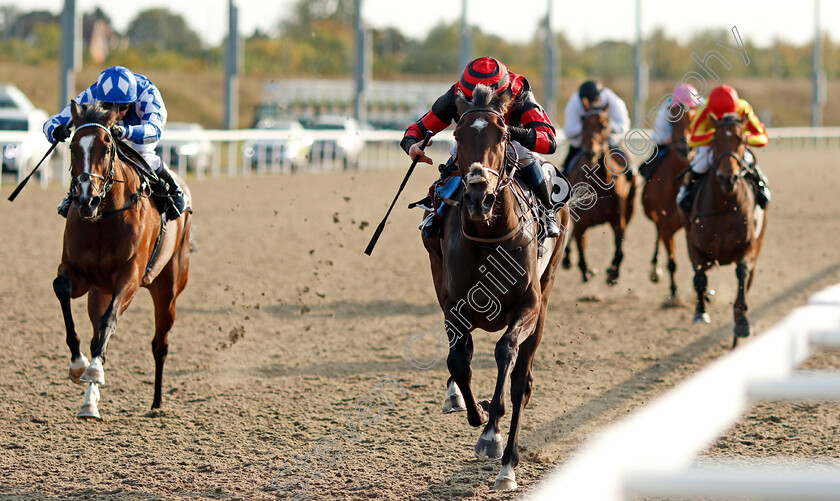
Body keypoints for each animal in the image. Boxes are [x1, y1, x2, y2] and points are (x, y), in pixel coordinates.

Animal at [52, 99, 192, 416]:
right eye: (73, 146)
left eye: (106, 148)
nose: (86, 199)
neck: (103, 219)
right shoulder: (78, 273)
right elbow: (62, 289)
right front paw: (78, 365)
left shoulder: (129, 276)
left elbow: (109, 320)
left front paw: (92, 370)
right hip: (98, 292)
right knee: (97, 338)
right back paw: (89, 403)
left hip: (167, 288)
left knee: (159, 343)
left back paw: (156, 402)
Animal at [420, 85, 572, 488]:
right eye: (457, 135)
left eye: (503, 135)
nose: (478, 196)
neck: (489, 236)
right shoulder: (453, 306)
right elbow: (458, 361)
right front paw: (475, 410)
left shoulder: (529, 306)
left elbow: (506, 354)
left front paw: (491, 434)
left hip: (547, 293)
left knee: (521, 381)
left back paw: (507, 464)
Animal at [560, 105, 632, 286]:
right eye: (583, 124)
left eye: (604, 125)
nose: (590, 153)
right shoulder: (581, 224)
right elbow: (581, 247)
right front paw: (586, 271)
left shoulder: (618, 220)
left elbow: (619, 249)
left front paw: (612, 273)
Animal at [644, 103, 696, 302]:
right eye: (673, 121)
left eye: (693, 119)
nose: (684, 148)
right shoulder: (666, 225)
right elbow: (672, 262)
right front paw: (674, 293)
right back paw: (655, 269)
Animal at [684, 114, 764, 348]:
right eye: (715, 139)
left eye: (742, 140)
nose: (727, 178)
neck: (724, 206)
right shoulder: (694, 245)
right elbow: (699, 277)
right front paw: (701, 312)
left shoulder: (748, 248)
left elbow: (741, 279)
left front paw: (743, 324)